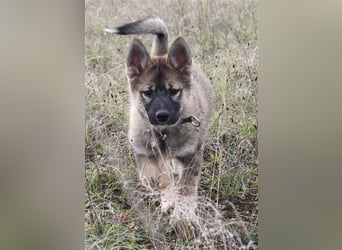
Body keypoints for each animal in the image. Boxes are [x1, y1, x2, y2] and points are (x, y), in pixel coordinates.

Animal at [106, 18, 214, 197]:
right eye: (148, 92)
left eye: (174, 91)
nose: (162, 116)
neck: (164, 132)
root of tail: (161, 54)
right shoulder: (143, 151)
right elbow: (154, 175)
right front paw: (162, 186)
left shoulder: (193, 154)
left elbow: (187, 185)